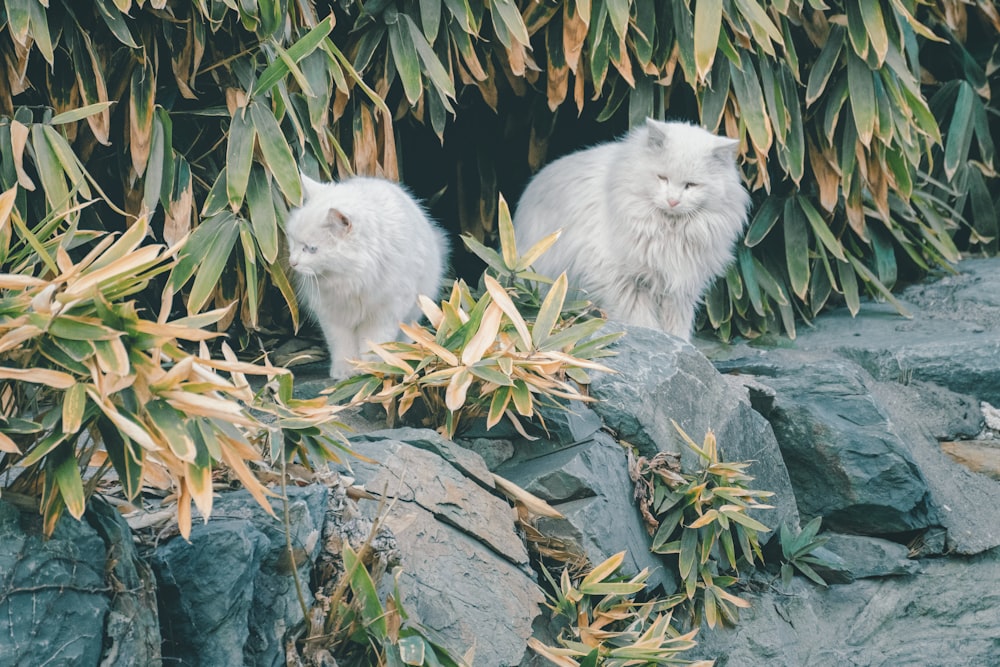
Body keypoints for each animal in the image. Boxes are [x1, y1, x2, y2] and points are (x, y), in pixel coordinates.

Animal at [286, 175, 450, 378]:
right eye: (292, 240)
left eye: (311, 249)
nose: (292, 262)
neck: (352, 278)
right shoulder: (333, 316)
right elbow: (342, 346)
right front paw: (345, 371)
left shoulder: (384, 314)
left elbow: (373, 344)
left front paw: (371, 368)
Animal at [512, 117, 748, 342]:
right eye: (662, 178)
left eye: (691, 185)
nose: (673, 201)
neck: (669, 231)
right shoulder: (625, 282)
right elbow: (642, 322)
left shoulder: (679, 290)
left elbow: (677, 327)